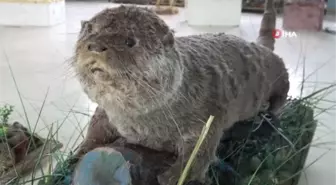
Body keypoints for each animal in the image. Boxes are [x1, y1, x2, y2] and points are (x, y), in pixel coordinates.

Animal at [73, 0, 288, 184]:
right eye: (89, 30)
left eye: (130, 41)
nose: (95, 46)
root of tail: (259, 46)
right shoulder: (105, 111)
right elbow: (96, 128)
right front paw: (79, 152)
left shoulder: (206, 113)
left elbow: (201, 150)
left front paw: (174, 177)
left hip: (279, 73)